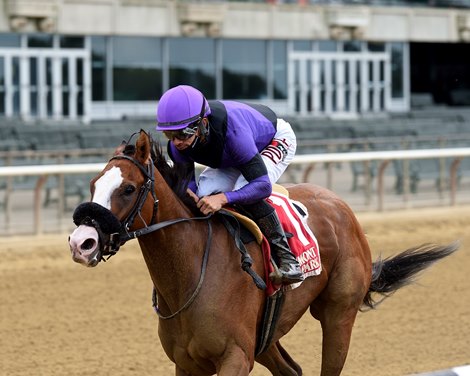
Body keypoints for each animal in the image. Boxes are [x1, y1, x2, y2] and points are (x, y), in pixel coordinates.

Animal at [68, 130, 458, 376]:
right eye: (93, 184)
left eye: (128, 188)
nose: (81, 242)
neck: (191, 274)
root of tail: (341, 206)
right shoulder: (187, 364)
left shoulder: (235, 358)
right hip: (267, 336)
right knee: (292, 370)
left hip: (338, 314)